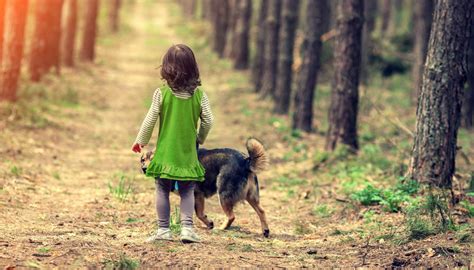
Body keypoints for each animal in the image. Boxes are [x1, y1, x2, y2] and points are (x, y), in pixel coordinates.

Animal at [140, 138, 270, 237]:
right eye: (143, 160)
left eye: (153, 159)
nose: (144, 169)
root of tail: (245, 161)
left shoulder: (197, 194)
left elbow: (199, 213)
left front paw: (209, 224)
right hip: (251, 196)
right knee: (262, 211)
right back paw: (265, 231)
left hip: (223, 194)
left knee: (231, 216)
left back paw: (221, 228)